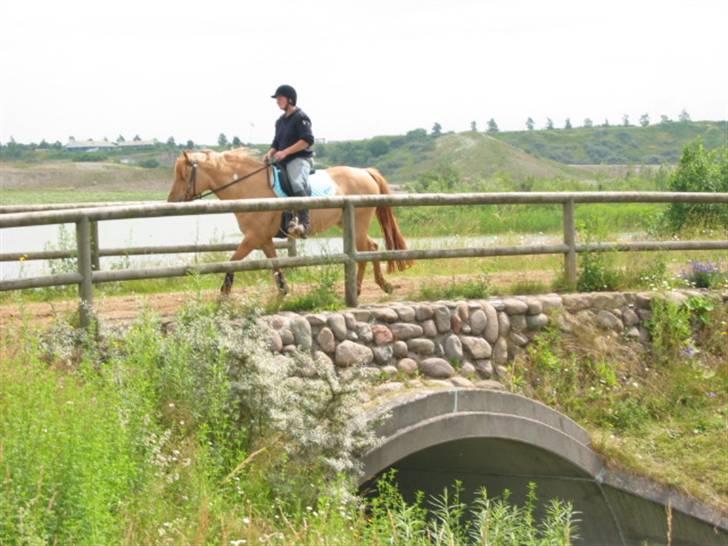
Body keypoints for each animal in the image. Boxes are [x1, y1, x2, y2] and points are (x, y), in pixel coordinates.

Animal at [167, 147, 412, 296]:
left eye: (183, 175)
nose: (171, 202)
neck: (248, 187)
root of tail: (365, 172)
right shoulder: (263, 239)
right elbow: (274, 265)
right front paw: (283, 290)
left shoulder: (252, 238)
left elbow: (232, 261)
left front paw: (224, 292)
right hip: (348, 223)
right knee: (371, 248)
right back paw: (380, 285)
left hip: (358, 222)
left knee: (365, 251)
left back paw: (363, 288)